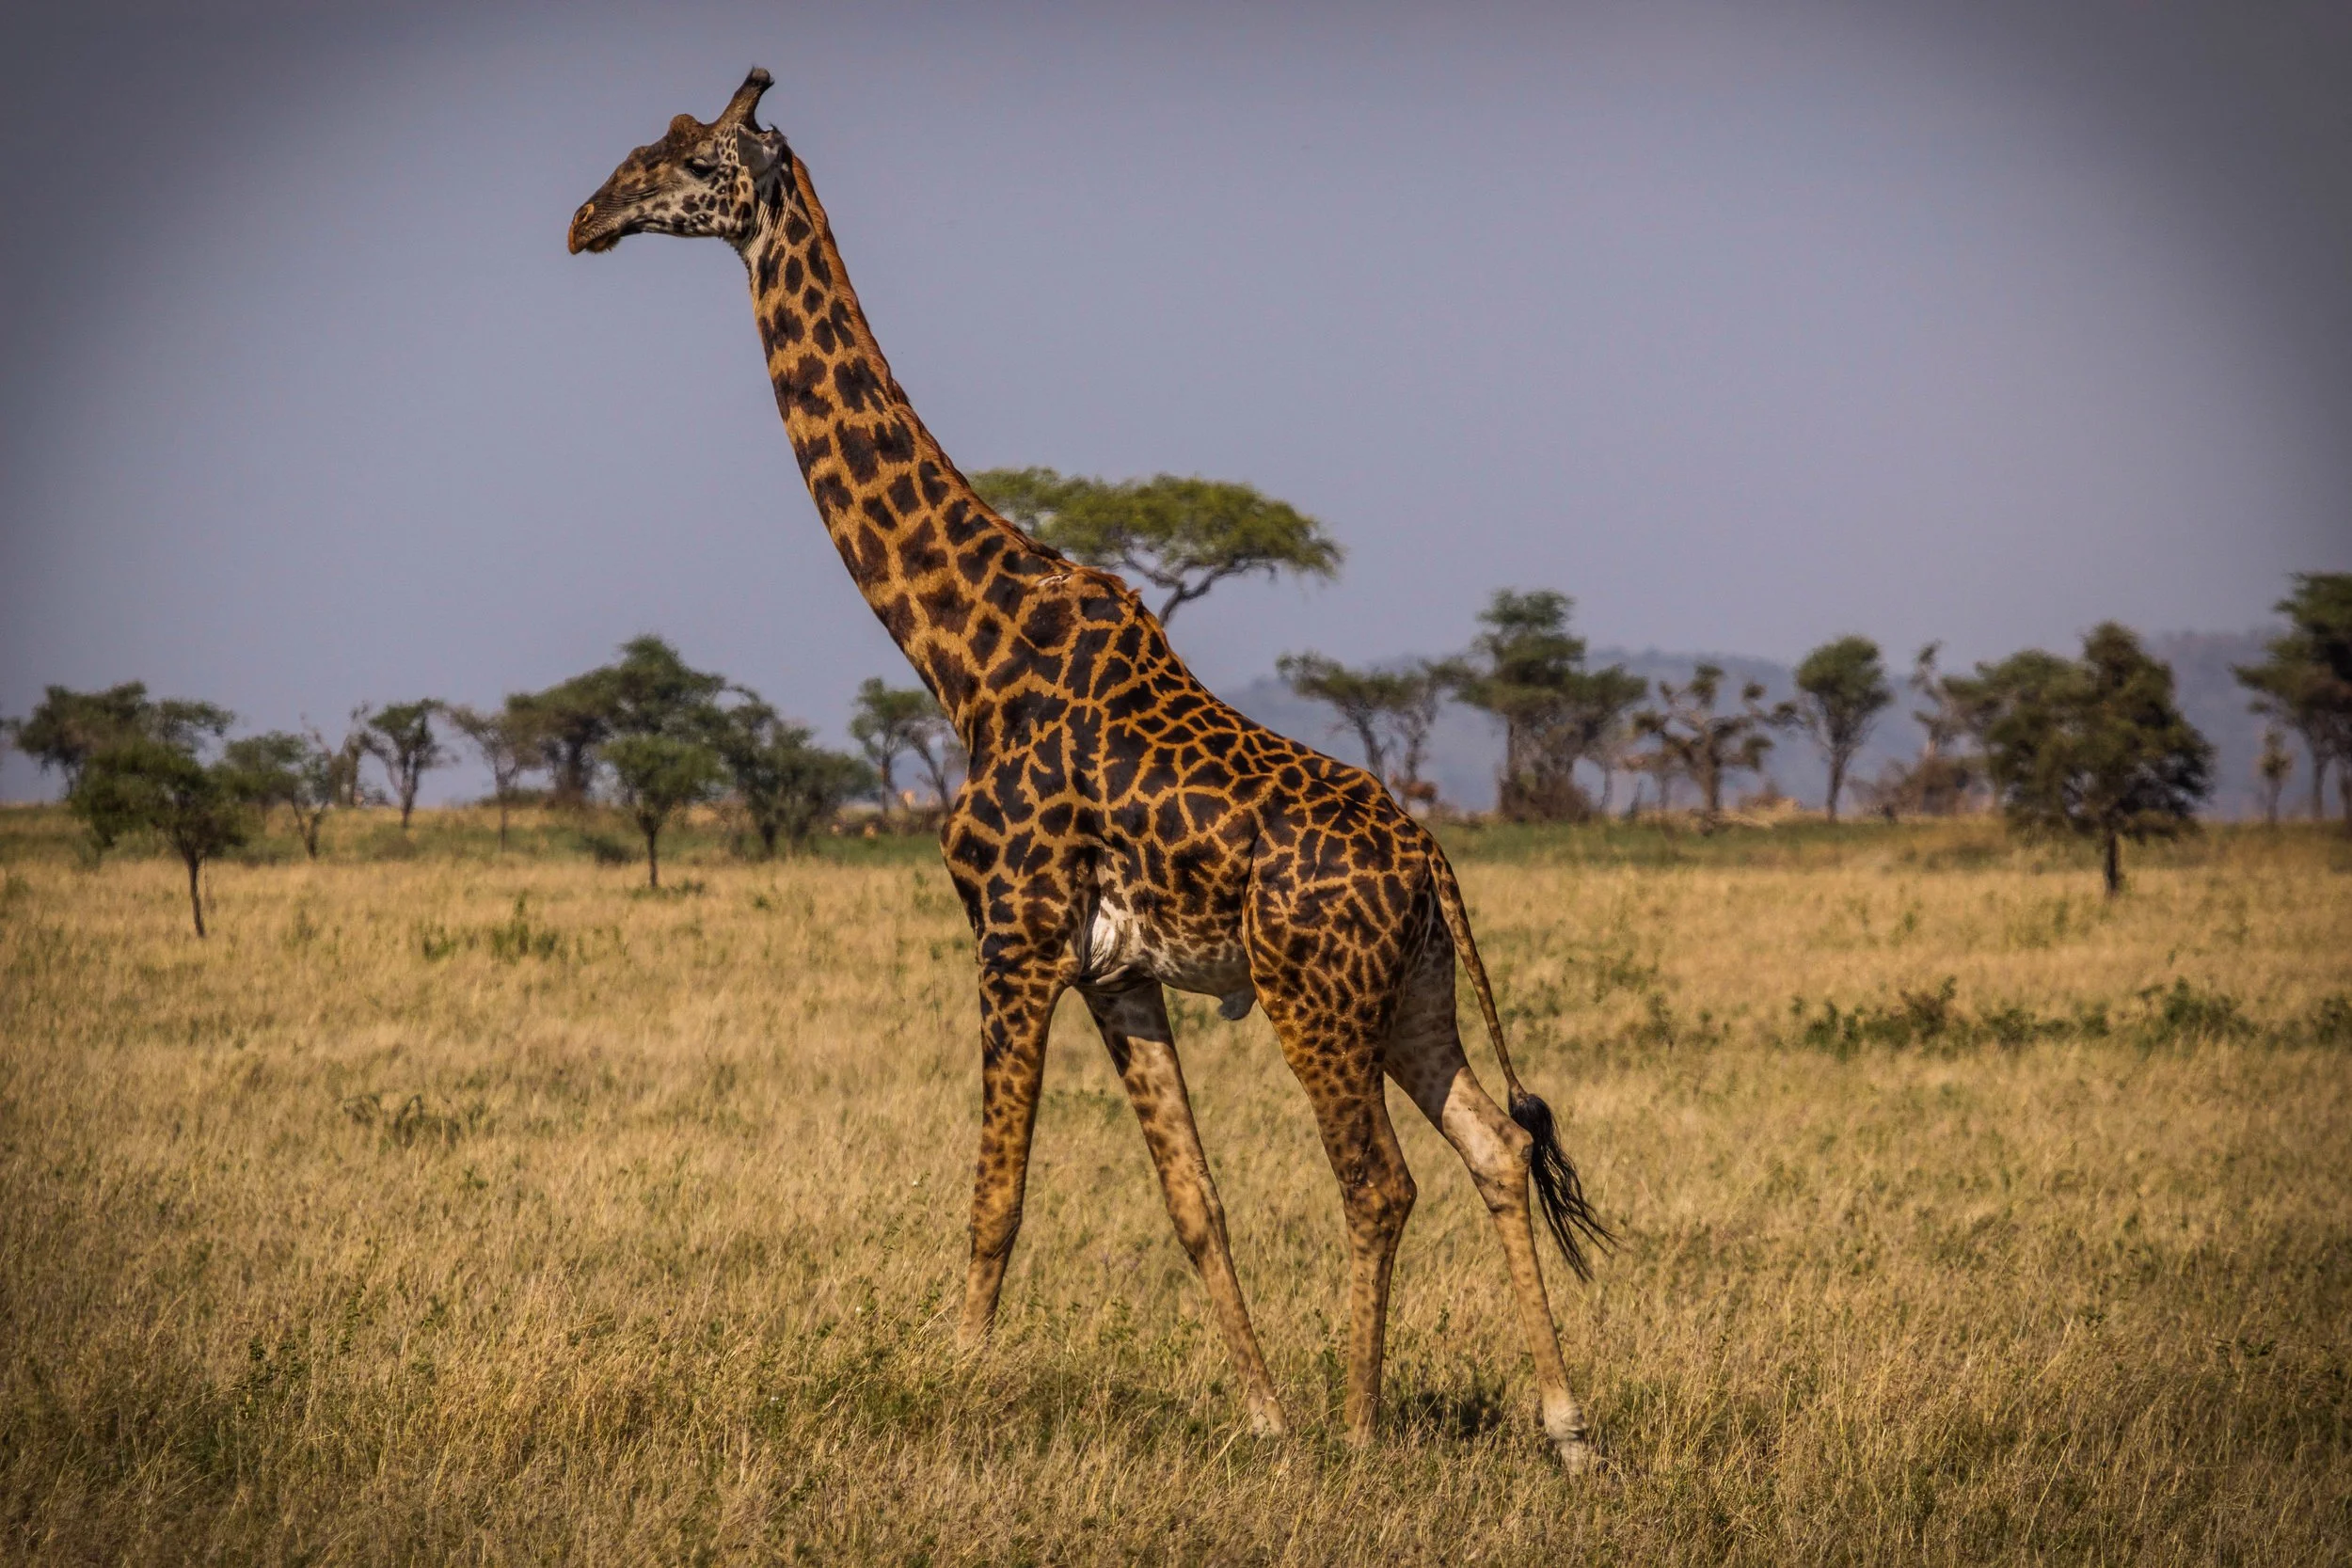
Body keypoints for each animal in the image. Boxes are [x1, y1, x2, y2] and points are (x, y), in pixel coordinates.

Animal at [568, 68, 1611, 1468]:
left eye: (688, 160)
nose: (585, 219)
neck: (961, 651)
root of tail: (1432, 858)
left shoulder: (1009, 933)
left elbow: (995, 1197)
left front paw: (945, 1388)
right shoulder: (1116, 970)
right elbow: (1193, 1203)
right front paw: (1263, 1418)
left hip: (1315, 995)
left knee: (1378, 1181)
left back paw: (1364, 1428)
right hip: (1413, 996)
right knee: (1495, 1149)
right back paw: (1562, 1423)